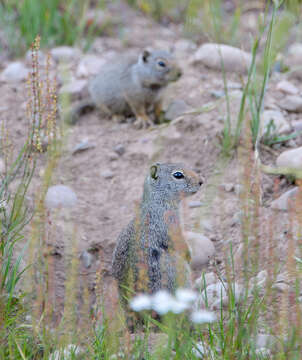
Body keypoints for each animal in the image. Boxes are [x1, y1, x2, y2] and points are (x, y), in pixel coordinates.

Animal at [111, 163, 203, 324]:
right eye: (178, 175)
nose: (201, 182)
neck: (157, 201)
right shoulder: (172, 225)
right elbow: (180, 243)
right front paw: (189, 255)